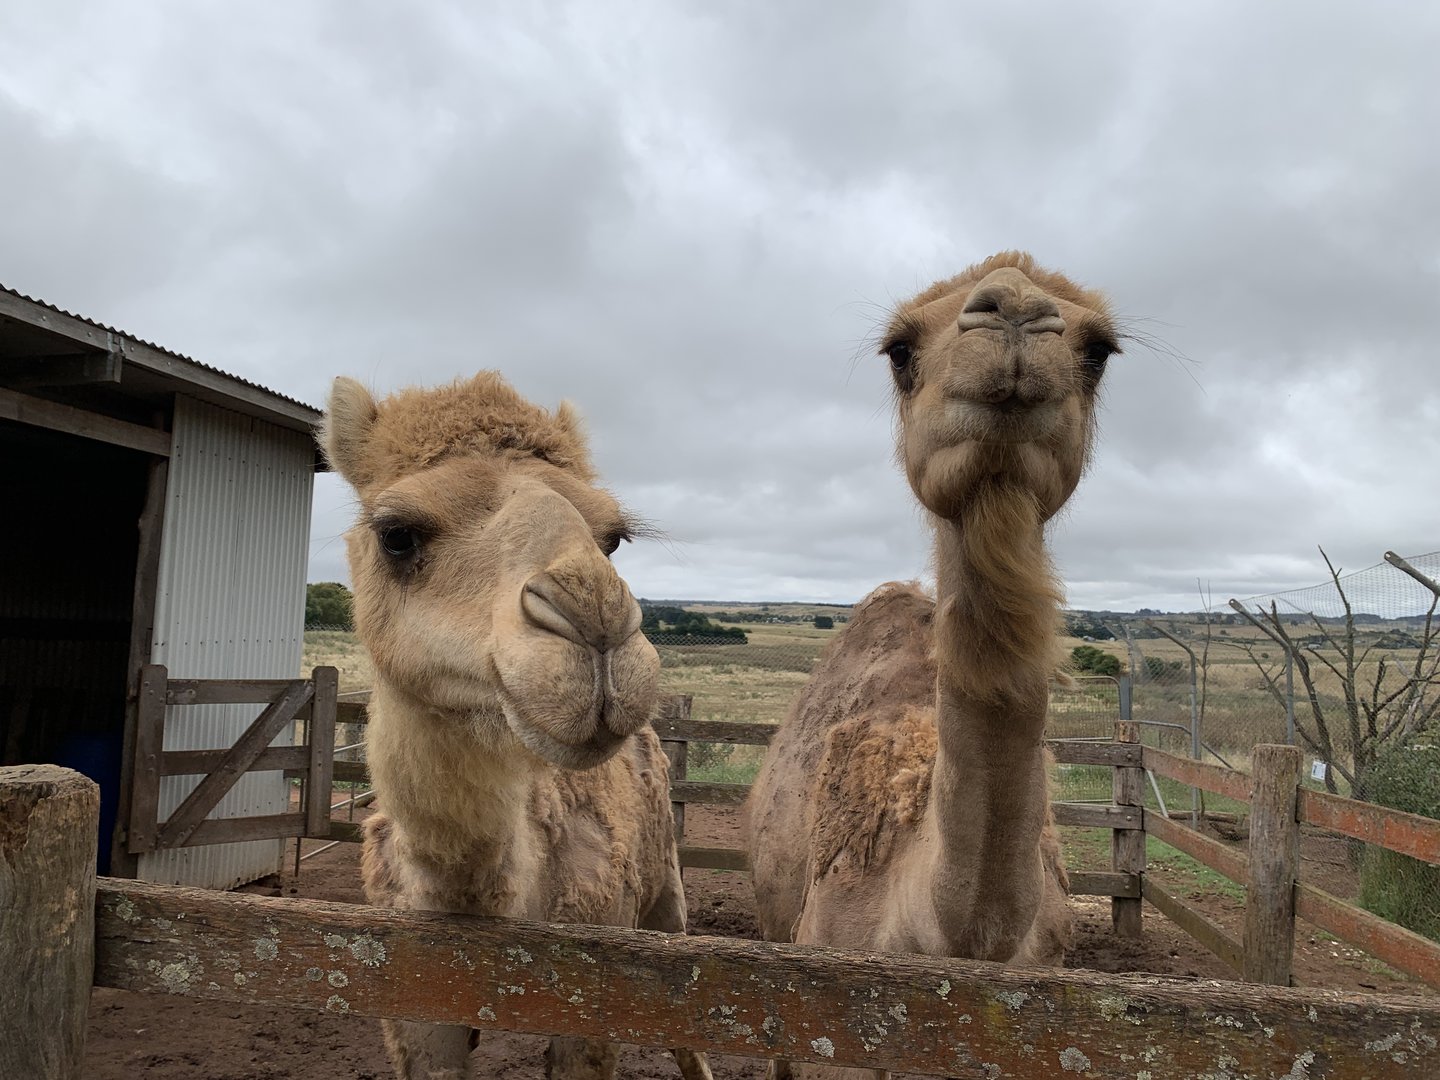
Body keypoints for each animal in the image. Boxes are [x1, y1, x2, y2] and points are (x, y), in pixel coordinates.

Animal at [321, 371, 711, 1080]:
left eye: (612, 538)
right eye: (397, 534)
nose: (597, 619)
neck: (487, 908)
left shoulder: (594, 999)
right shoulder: (415, 1014)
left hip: (667, 896)